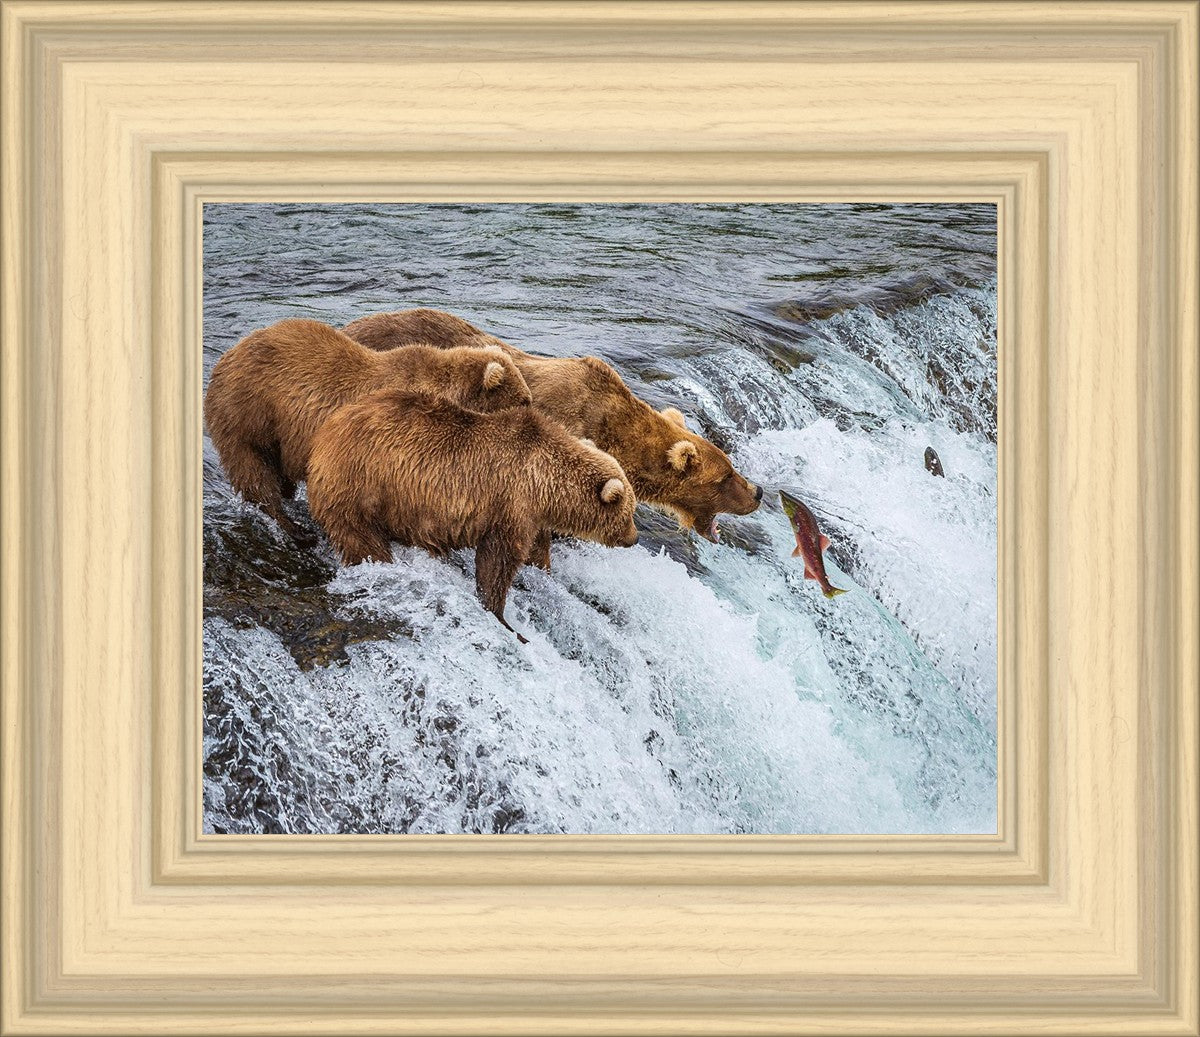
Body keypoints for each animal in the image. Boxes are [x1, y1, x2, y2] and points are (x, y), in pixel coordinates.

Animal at [204, 317, 531, 543]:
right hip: (249, 413)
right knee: (254, 471)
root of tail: (226, 357)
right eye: (524, 400)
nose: (533, 412)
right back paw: (293, 528)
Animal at [306, 388, 640, 641]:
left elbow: (535, 550)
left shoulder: (532, 516)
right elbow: (498, 561)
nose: (634, 538)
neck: (545, 483)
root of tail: (324, 434)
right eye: (629, 512)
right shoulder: (510, 503)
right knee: (361, 539)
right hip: (361, 485)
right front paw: (503, 617)